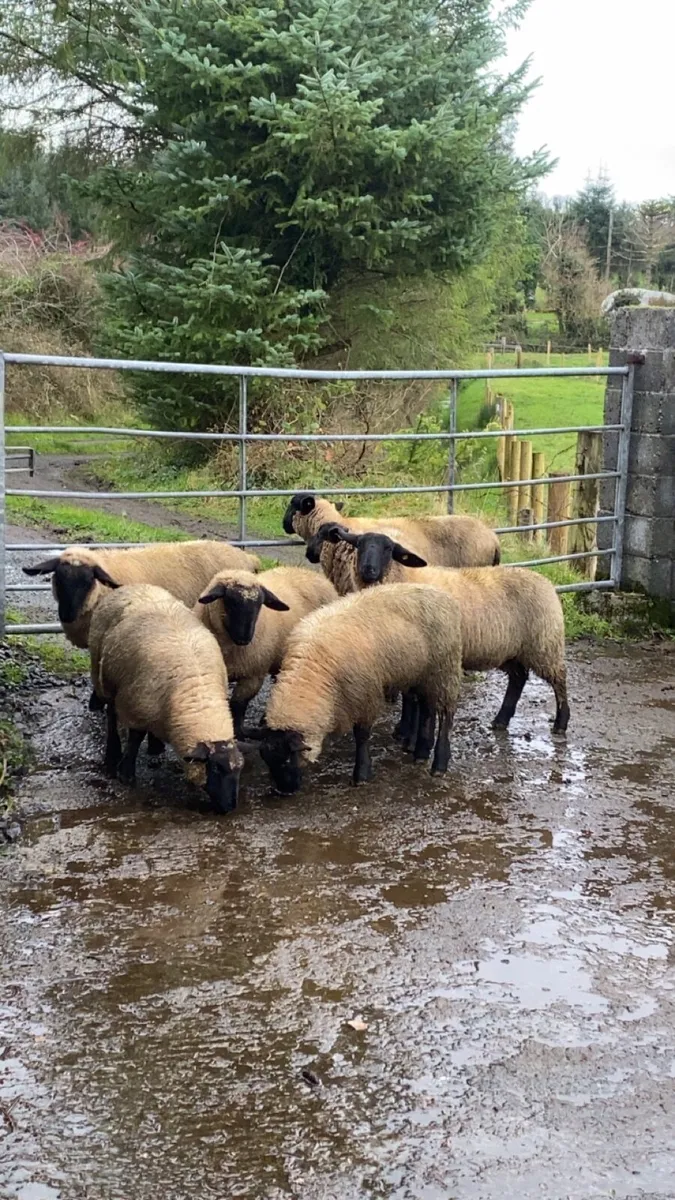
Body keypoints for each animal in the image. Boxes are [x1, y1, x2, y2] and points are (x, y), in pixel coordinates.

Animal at [89, 584, 244, 812]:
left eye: (239, 769)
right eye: (215, 769)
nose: (230, 807)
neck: (197, 694)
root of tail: (133, 586)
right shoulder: (134, 707)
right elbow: (134, 740)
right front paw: (126, 775)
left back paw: (155, 748)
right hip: (103, 679)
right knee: (111, 714)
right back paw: (112, 753)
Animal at [195, 565, 337, 732]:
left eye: (259, 605)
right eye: (231, 602)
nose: (244, 638)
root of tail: (314, 574)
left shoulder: (253, 676)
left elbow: (237, 706)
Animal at [257, 583, 463, 793]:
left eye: (287, 760)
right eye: (267, 762)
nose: (285, 791)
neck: (312, 669)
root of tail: (441, 594)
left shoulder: (364, 695)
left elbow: (362, 735)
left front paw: (361, 774)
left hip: (444, 669)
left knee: (446, 714)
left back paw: (439, 764)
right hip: (419, 673)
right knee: (427, 708)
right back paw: (421, 752)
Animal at [325, 526, 570, 736]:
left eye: (389, 549)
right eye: (359, 545)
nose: (368, 570)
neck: (403, 577)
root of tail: (546, 583)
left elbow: (411, 697)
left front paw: (405, 731)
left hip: (544, 643)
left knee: (559, 679)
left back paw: (561, 723)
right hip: (510, 649)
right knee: (518, 678)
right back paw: (501, 720)